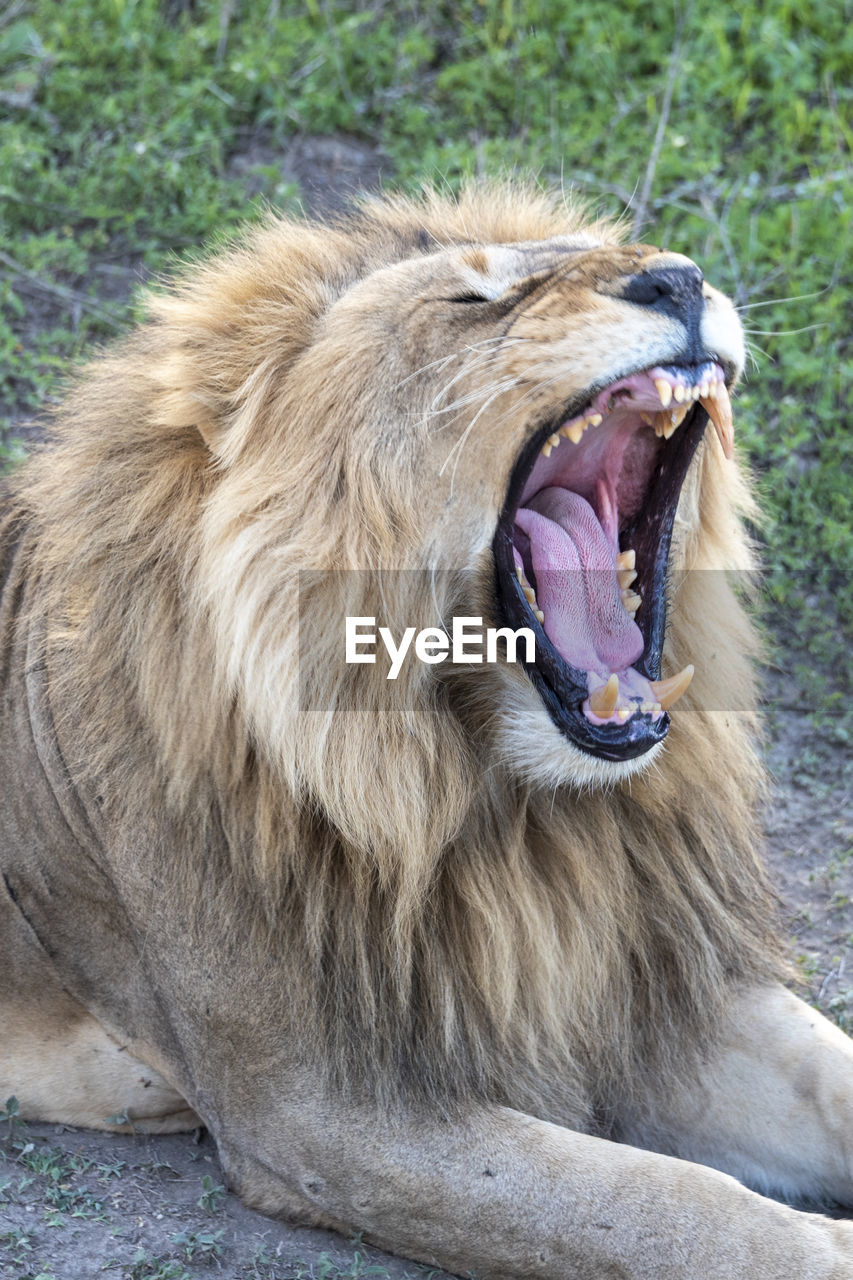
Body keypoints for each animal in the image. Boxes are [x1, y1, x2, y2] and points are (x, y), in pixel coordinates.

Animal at [1, 183, 850, 1280]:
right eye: (471, 300)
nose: (679, 277)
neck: (513, 810)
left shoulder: (648, 981)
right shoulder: (324, 1113)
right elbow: (680, 1208)